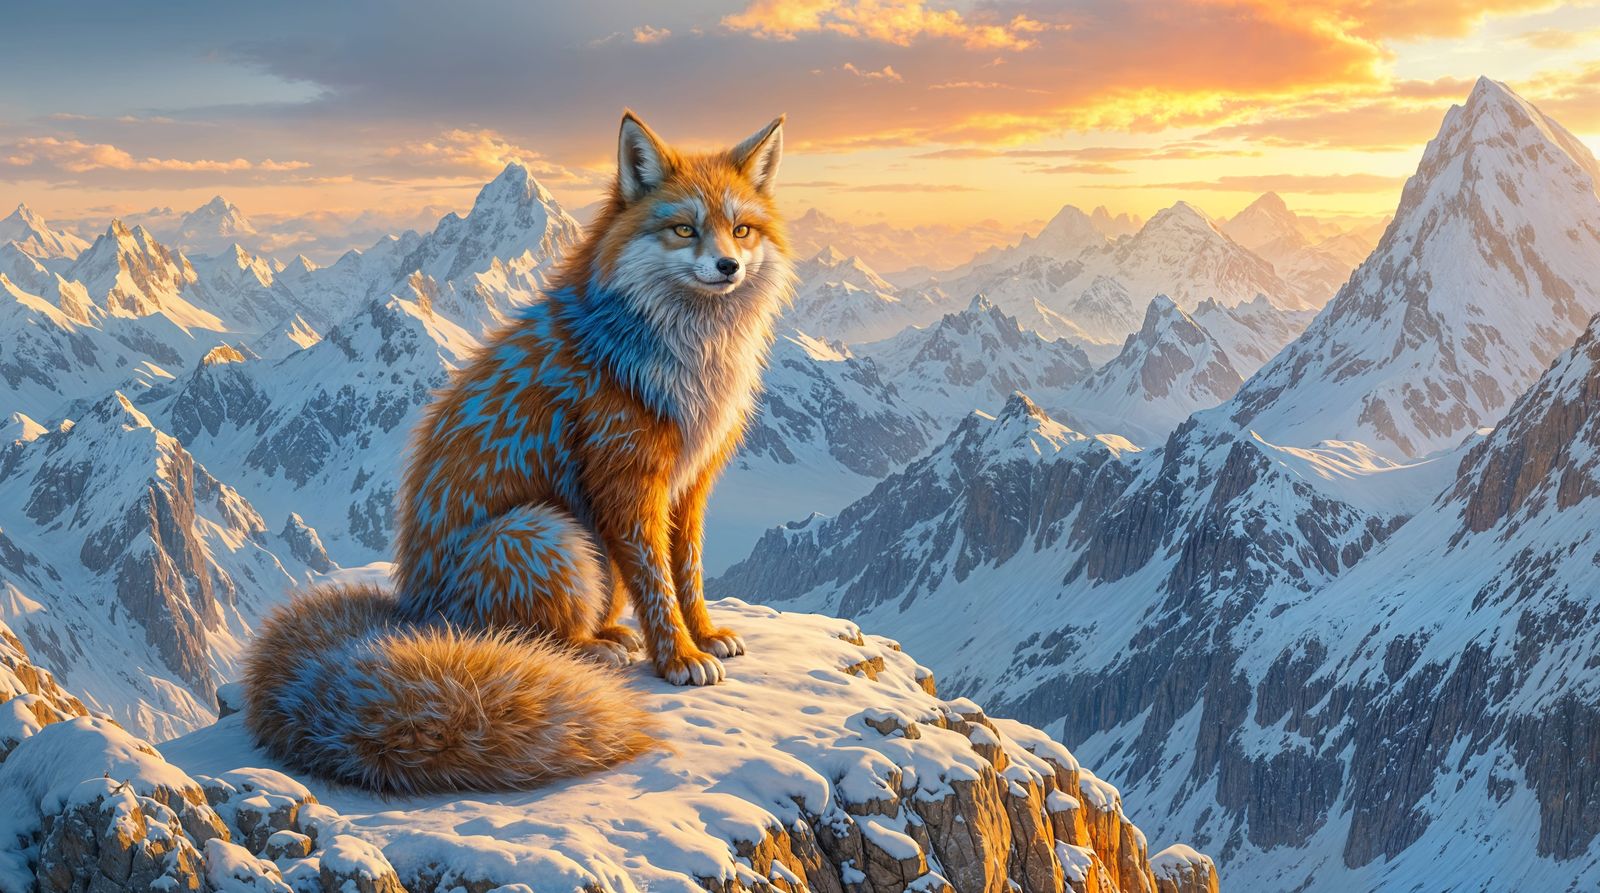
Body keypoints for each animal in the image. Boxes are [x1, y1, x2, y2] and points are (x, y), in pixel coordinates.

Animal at [243, 110, 795, 795]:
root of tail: (411, 610)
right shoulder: (629, 478)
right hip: (548, 534)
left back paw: (612, 634)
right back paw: (594, 648)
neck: (685, 357)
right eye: (684, 229)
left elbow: (687, 573)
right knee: (530, 643)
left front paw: (705, 636)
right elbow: (658, 582)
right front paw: (678, 658)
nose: (727, 266)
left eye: (741, 229)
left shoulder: (690, 484)